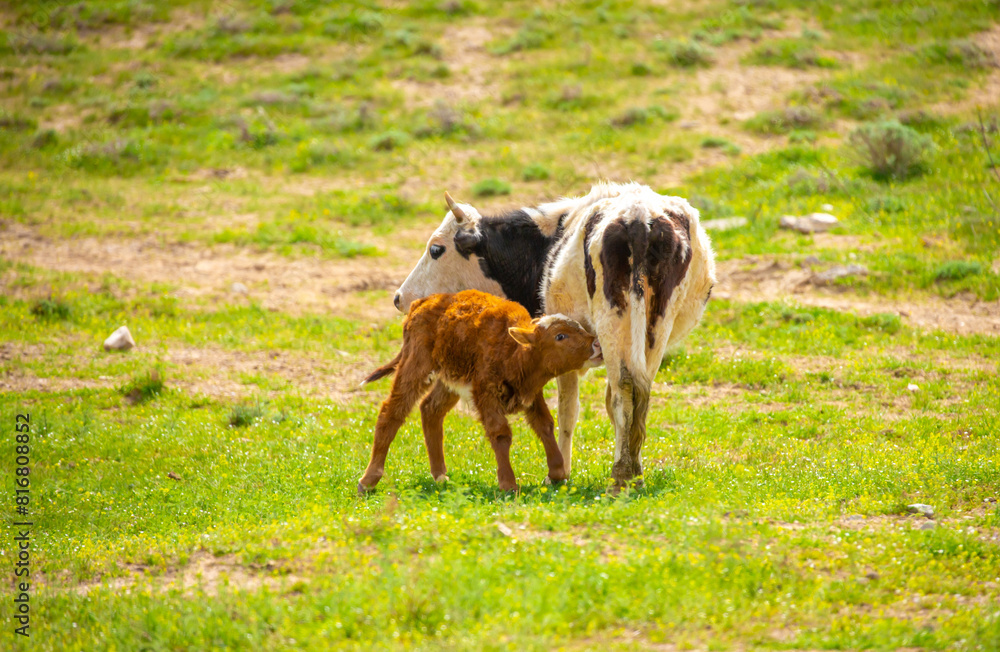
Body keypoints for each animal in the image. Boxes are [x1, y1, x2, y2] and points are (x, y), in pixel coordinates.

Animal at [358, 289, 603, 494]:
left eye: (580, 327)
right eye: (560, 336)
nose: (597, 344)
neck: (514, 351)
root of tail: (424, 301)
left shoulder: (531, 393)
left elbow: (544, 424)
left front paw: (557, 472)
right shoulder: (486, 392)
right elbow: (500, 432)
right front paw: (508, 483)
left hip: (450, 379)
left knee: (430, 409)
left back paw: (439, 474)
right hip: (415, 364)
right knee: (392, 412)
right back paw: (369, 480)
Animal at [393, 182, 716, 488]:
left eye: (436, 249)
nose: (399, 298)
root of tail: (640, 217)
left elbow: (567, 411)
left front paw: (560, 472)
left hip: (617, 320)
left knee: (625, 389)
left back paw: (622, 475)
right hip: (655, 328)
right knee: (638, 392)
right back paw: (633, 474)